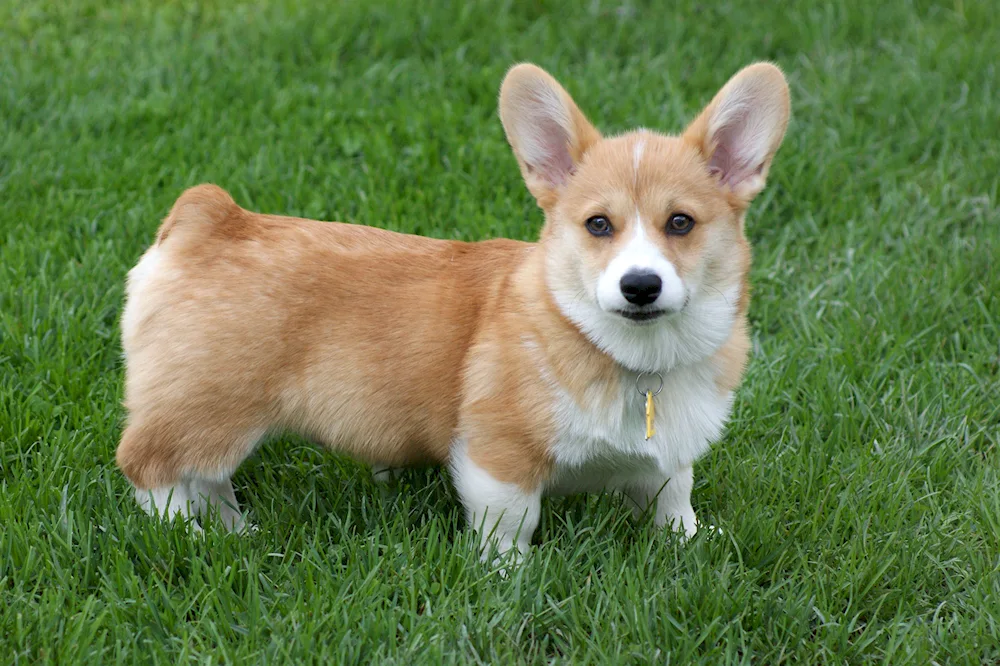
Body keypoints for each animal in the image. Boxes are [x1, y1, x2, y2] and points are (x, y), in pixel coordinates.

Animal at [115, 63, 788, 556]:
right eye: (599, 225)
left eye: (681, 223)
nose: (640, 285)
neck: (631, 356)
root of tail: (211, 219)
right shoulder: (498, 455)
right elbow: (511, 523)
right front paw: (510, 577)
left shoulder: (668, 457)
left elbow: (673, 499)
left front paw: (692, 544)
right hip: (212, 404)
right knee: (150, 467)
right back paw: (188, 536)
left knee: (206, 478)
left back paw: (235, 529)